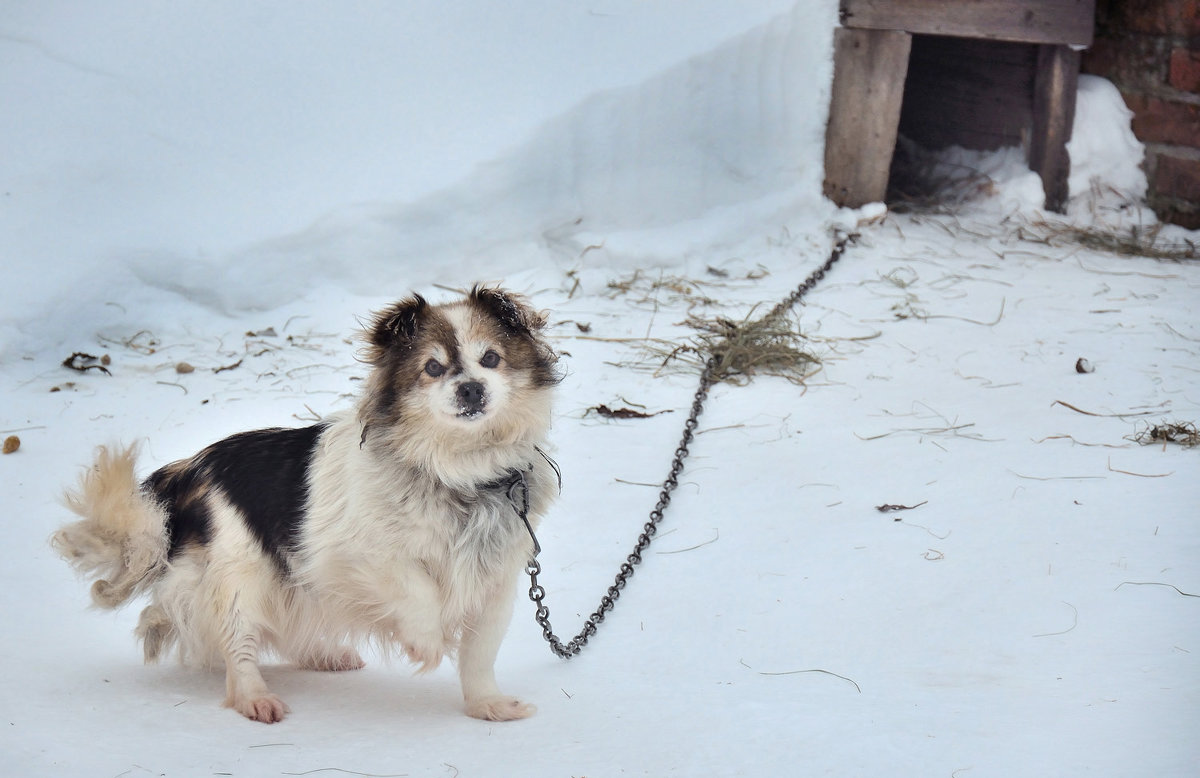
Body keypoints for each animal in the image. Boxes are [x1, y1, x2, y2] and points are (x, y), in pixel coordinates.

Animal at [51, 285, 561, 725]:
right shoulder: (358, 558)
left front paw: (488, 706)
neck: (459, 473)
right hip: (240, 571)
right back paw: (255, 697)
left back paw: (324, 656)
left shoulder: (493, 583)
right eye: (433, 368)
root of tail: (192, 467)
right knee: (238, 643)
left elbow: (479, 653)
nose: (471, 389)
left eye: (491, 359)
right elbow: (417, 592)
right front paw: (426, 643)